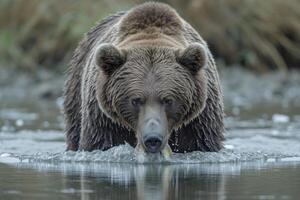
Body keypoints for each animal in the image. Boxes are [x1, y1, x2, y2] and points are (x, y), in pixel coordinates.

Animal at [64, 1, 224, 155]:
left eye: (168, 100)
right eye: (135, 100)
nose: (153, 138)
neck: (151, 35)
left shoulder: (198, 123)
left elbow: (202, 144)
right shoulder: (105, 122)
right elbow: (99, 143)